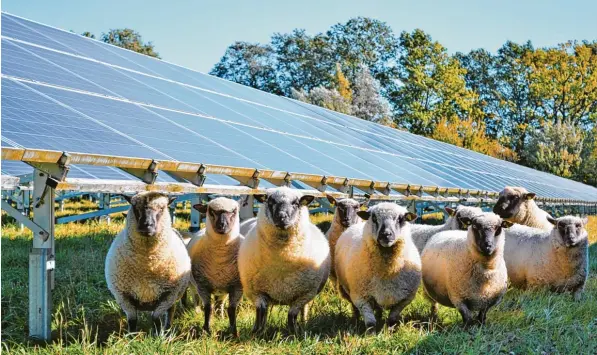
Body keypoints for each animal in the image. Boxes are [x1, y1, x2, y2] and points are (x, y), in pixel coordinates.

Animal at [105, 192, 191, 334]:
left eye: (162, 208)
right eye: (135, 207)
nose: (147, 225)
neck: (147, 263)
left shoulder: (168, 294)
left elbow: (156, 318)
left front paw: (159, 335)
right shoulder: (123, 295)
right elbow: (132, 320)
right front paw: (131, 336)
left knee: (171, 312)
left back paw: (168, 330)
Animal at [185, 199, 243, 338]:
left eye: (234, 211)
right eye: (211, 211)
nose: (222, 225)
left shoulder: (237, 287)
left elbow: (231, 310)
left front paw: (234, 332)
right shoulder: (203, 285)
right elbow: (208, 308)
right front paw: (206, 330)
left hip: (222, 289)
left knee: (220, 303)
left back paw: (220, 316)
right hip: (193, 284)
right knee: (196, 298)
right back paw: (197, 312)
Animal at [237, 186, 330, 334]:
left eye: (296, 203)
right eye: (270, 202)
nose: (281, 217)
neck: (281, 262)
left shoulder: (303, 294)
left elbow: (292, 316)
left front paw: (295, 333)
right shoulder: (256, 292)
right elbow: (260, 313)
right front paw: (256, 332)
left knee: (304, 309)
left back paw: (304, 323)